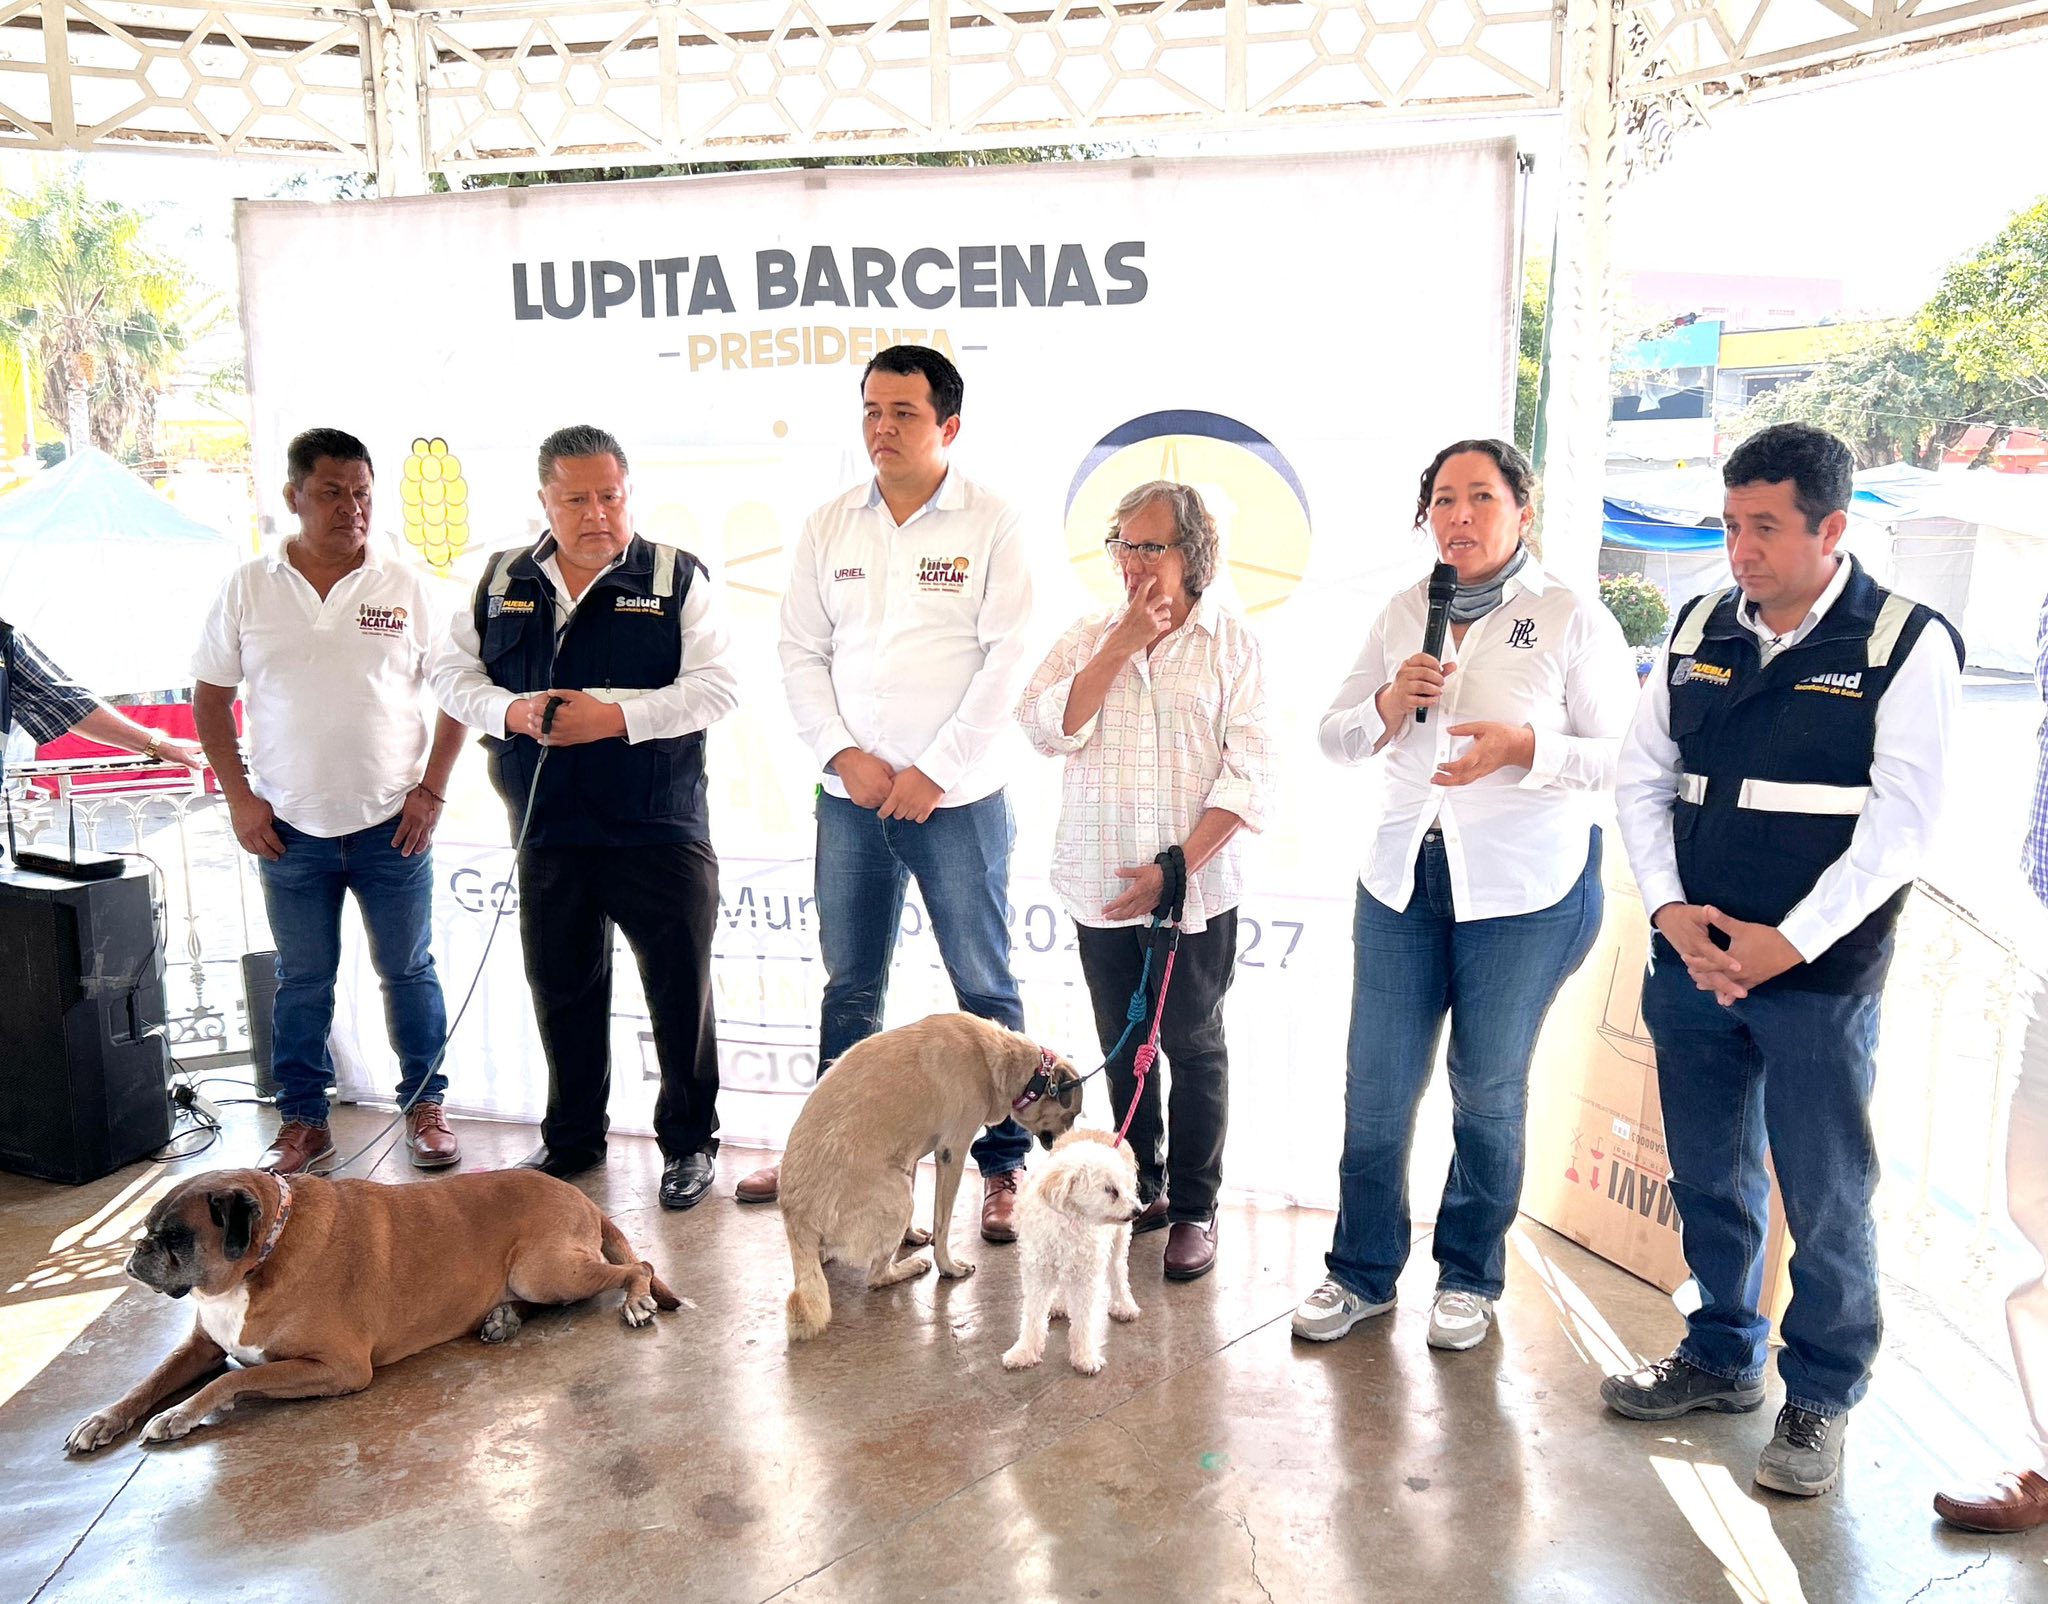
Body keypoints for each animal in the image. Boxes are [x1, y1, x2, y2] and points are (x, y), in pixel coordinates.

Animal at [65, 1167, 680, 1453]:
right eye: (148, 1228)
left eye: (175, 1237)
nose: (135, 1253)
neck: (263, 1255)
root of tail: (583, 1198)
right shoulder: (201, 1347)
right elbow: (149, 1382)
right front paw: (106, 1418)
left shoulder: (339, 1369)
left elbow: (229, 1381)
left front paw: (180, 1413)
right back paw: (502, 1318)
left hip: (545, 1271)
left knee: (640, 1266)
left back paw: (637, 1300)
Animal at [781, 1012, 1082, 1340]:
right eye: (1072, 1116)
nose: (1069, 1145)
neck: (999, 1059)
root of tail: (798, 1220)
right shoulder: (952, 1153)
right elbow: (943, 1224)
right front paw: (948, 1266)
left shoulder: (911, 1155)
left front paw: (911, 1235)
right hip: (898, 1196)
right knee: (876, 1276)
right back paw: (908, 1268)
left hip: (899, 1183)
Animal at [1002, 1129, 1144, 1375]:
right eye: (1110, 1190)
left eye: (1123, 1187)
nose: (1138, 1210)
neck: (1070, 1220)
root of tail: (1104, 1132)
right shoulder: (1038, 1272)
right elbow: (1032, 1316)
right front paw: (1024, 1351)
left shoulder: (1085, 1277)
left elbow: (1083, 1320)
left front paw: (1084, 1356)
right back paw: (1059, 1303)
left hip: (1118, 1239)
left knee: (1117, 1270)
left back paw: (1123, 1305)